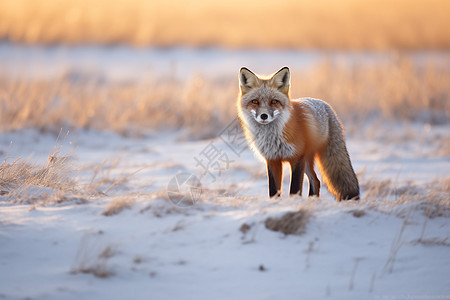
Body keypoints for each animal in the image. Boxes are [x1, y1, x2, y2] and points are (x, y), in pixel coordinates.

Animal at [237, 67, 360, 200]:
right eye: (255, 101)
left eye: (274, 101)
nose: (264, 116)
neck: (272, 136)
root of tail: (324, 103)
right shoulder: (272, 159)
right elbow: (274, 191)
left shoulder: (296, 158)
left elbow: (294, 189)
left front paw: (293, 202)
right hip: (306, 161)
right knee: (316, 180)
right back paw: (312, 200)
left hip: (310, 158)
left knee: (316, 180)